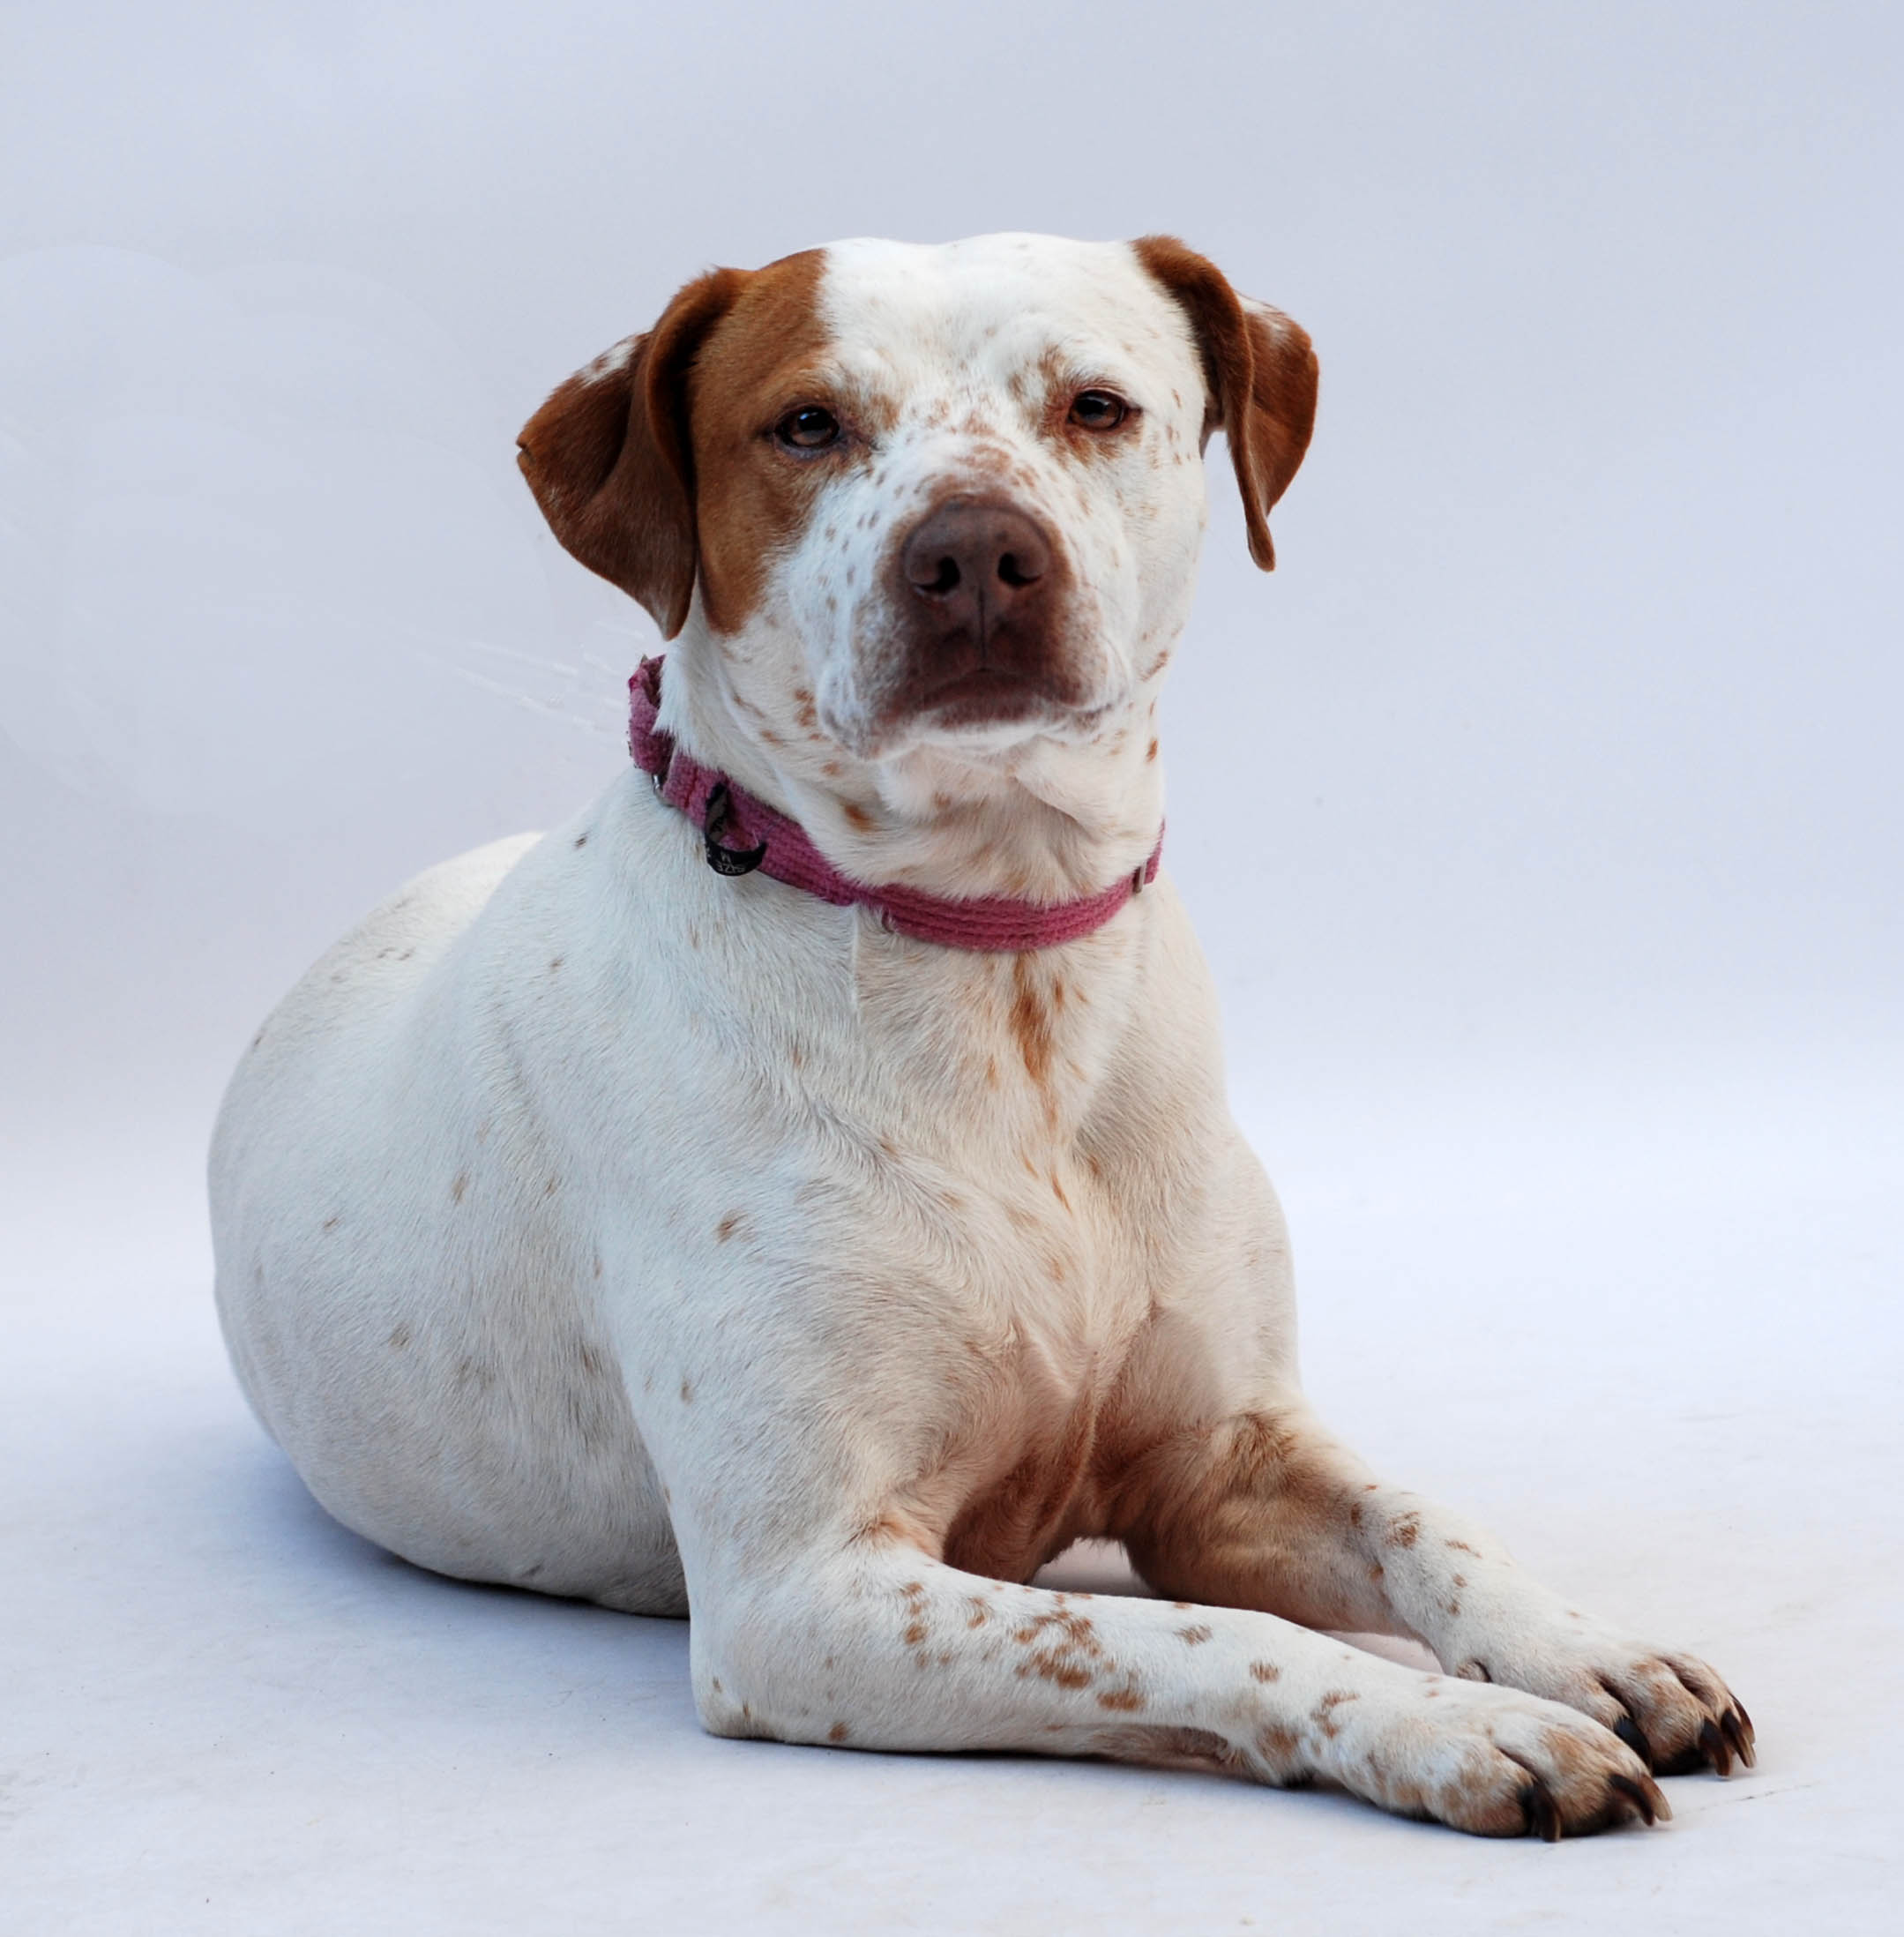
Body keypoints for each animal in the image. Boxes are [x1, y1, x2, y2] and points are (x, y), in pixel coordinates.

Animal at [210, 232, 1751, 1838]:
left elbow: (1421, 1519)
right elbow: (1211, 1638)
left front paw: (1580, 1649)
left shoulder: (1221, 1458)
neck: (1002, 973)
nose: (970, 553)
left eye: (1094, 406)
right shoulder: (805, 1592)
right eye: (806, 424)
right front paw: (1456, 1724)